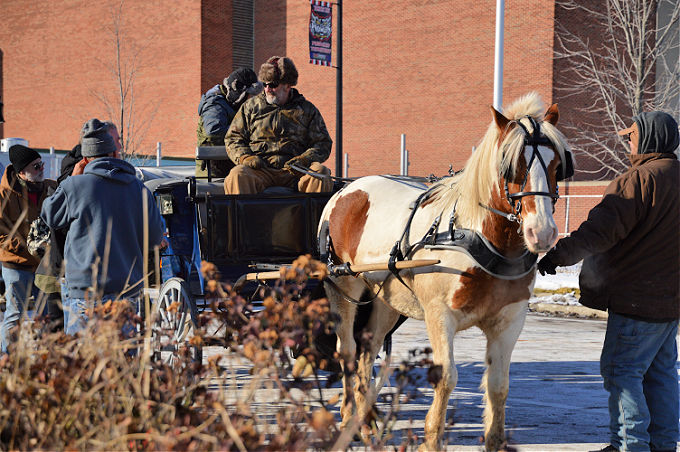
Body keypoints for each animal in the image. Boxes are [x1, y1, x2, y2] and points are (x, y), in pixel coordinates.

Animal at [316, 92, 572, 452]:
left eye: (556, 165)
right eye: (511, 165)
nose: (544, 232)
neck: (477, 235)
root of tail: (345, 190)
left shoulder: (509, 320)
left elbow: (498, 385)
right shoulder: (439, 314)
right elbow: (447, 377)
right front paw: (432, 439)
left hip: (386, 300)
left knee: (369, 352)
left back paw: (366, 424)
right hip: (342, 285)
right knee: (348, 351)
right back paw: (349, 419)